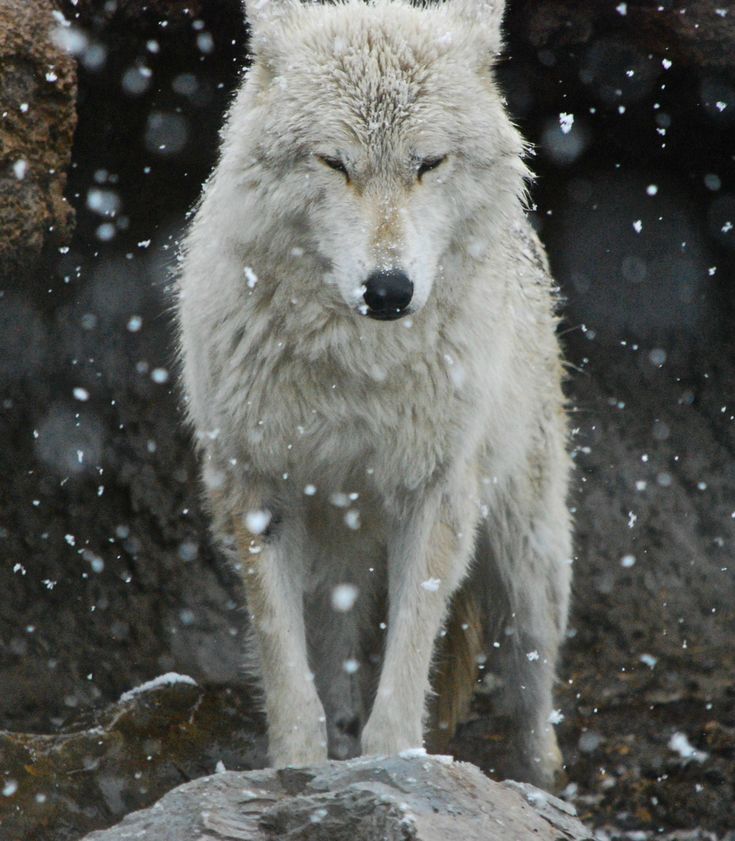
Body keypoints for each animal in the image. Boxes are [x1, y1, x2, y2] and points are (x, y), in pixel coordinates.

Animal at [178, 0, 576, 788]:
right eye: (335, 162)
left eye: (428, 163)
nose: (388, 290)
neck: (354, 367)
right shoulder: (258, 493)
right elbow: (289, 678)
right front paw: (297, 773)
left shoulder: (436, 494)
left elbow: (403, 680)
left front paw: (397, 768)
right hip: (335, 560)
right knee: (335, 661)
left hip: (529, 562)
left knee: (533, 700)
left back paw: (537, 785)